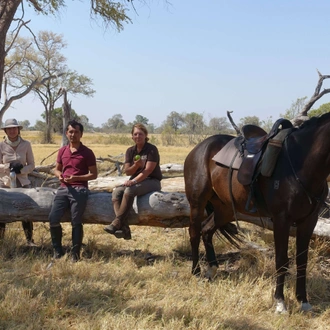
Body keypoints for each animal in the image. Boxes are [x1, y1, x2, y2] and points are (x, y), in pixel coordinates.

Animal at [183, 112, 330, 314]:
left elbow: (302, 261)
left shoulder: (309, 221)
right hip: (197, 203)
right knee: (195, 233)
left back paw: (211, 270)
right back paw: (196, 272)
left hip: (224, 209)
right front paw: (280, 302)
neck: (301, 163)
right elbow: (282, 260)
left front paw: (303, 301)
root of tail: (198, 148)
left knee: (206, 231)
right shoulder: (281, 220)